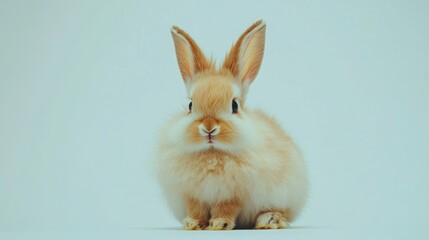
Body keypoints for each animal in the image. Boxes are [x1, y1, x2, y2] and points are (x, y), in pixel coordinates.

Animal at [157, 19, 308, 230]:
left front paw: (219, 224)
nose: (209, 127)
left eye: (234, 105)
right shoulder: (192, 194)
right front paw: (193, 224)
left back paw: (268, 219)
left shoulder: (232, 194)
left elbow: (226, 208)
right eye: (190, 105)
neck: (212, 153)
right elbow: (196, 209)